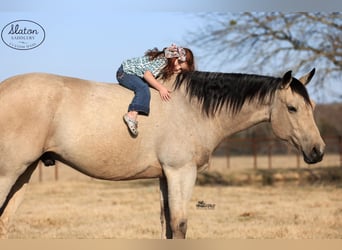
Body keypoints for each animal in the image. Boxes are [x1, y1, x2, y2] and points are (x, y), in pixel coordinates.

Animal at [0, 68, 324, 238]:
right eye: (292, 108)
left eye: (312, 107)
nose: (318, 151)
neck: (193, 109)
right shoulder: (181, 172)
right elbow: (179, 224)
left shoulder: (165, 177)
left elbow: (167, 224)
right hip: (9, 172)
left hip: (25, 172)